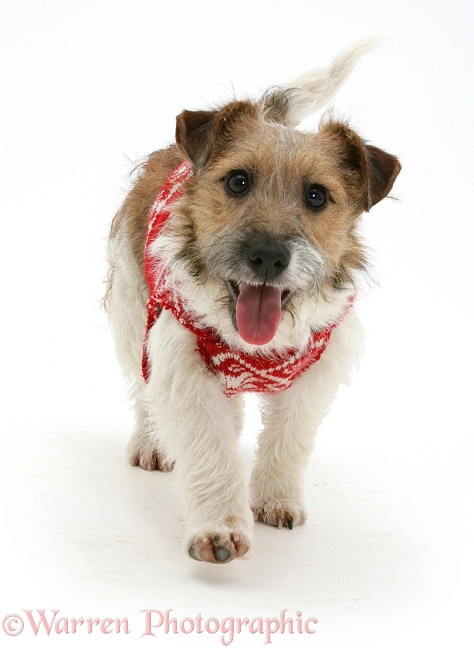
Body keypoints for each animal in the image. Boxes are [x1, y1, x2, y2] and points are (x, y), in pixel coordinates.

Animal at [103, 40, 400, 564]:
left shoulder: (316, 369)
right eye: (238, 181)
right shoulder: (182, 362)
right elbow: (210, 451)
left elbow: (290, 439)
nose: (267, 256)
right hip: (131, 315)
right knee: (142, 390)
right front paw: (218, 530)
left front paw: (277, 499)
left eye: (316, 196)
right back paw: (152, 442)